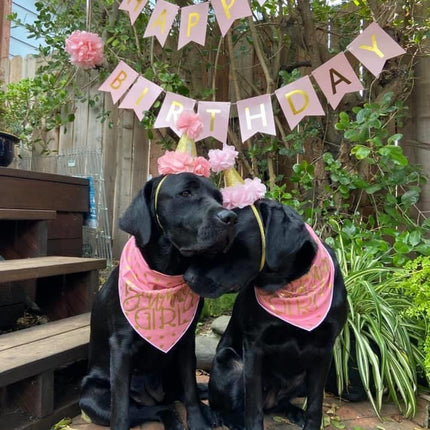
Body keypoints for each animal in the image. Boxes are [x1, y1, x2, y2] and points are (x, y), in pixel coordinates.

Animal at [79, 173, 237, 430]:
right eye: (185, 193)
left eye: (219, 198)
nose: (231, 218)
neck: (167, 274)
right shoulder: (121, 348)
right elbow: (120, 409)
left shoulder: (186, 340)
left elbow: (191, 391)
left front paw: (198, 422)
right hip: (92, 396)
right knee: (154, 409)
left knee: (179, 396)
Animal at [186, 201, 348, 430]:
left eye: (225, 244)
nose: (187, 277)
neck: (288, 285)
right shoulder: (254, 347)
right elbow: (253, 408)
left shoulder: (324, 350)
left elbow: (315, 406)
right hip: (229, 362)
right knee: (223, 406)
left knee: (280, 405)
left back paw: (295, 411)